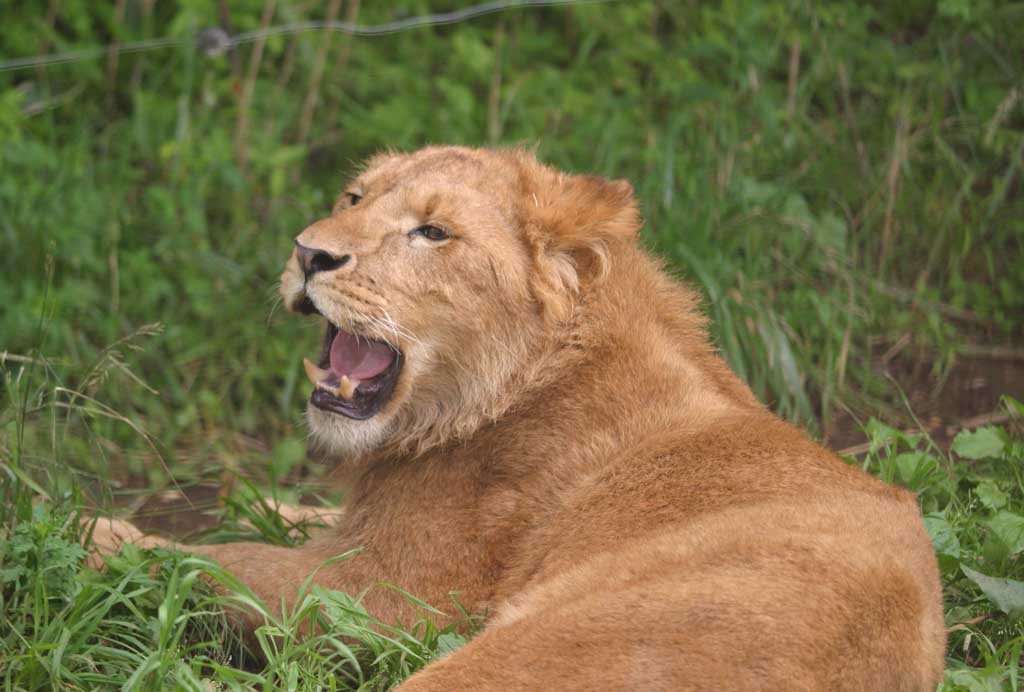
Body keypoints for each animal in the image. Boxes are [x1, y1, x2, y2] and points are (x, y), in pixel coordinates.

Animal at [93, 146, 946, 690]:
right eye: (355, 198)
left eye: (432, 232)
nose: (308, 254)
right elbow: (282, 521)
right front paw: (245, 498)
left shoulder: (382, 598)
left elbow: (216, 563)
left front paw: (96, 536)